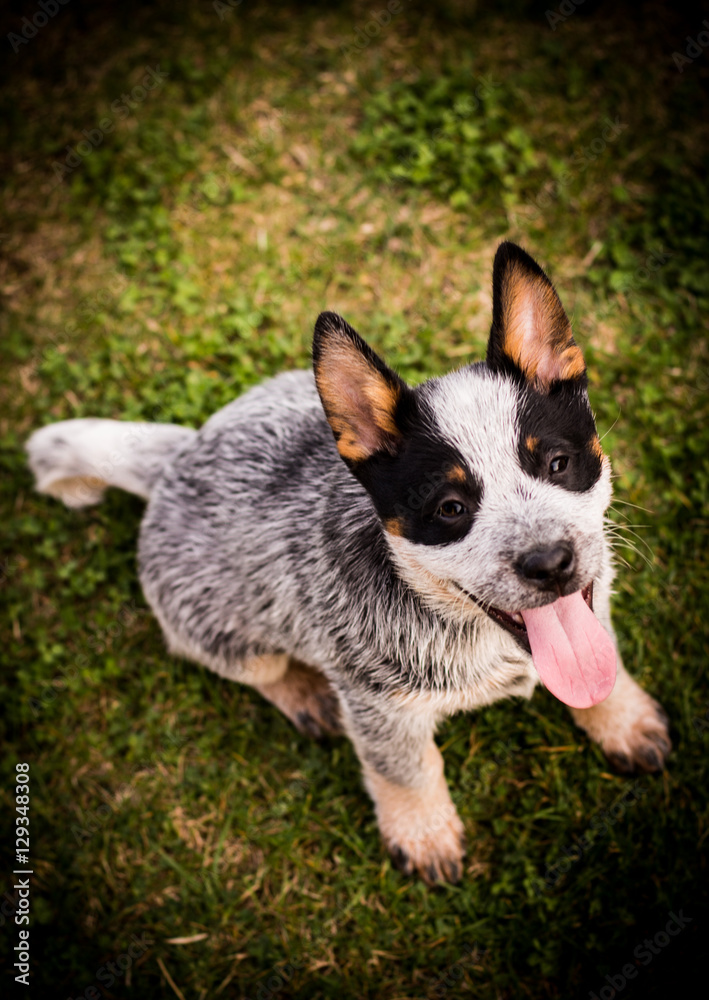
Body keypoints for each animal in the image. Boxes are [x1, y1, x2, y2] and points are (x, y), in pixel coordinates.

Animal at [26, 242, 668, 884]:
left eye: (558, 463)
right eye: (450, 508)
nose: (550, 562)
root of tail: (175, 458)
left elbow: (604, 665)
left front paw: (623, 720)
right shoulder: (378, 706)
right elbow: (405, 769)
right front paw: (423, 833)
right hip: (219, 632)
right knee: (252, 666)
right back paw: (305, 694)